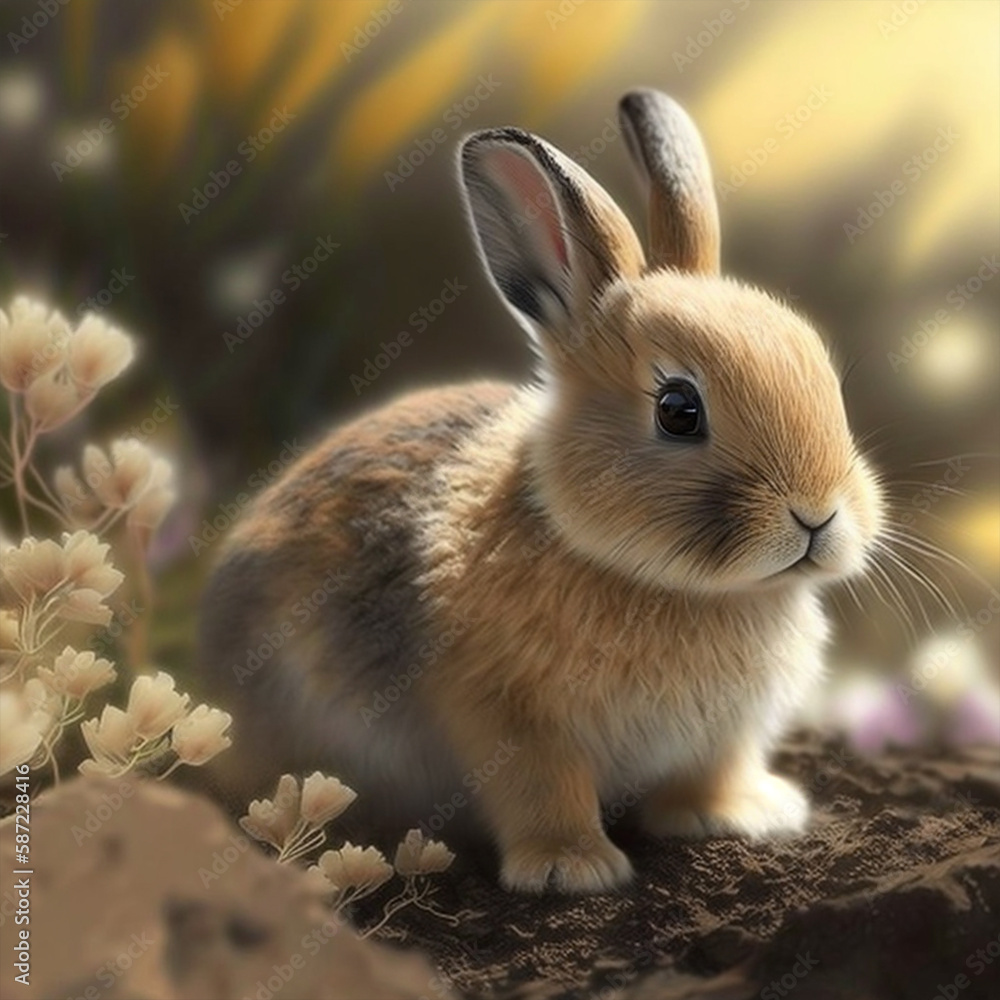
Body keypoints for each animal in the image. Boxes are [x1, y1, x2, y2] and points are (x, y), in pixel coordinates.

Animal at [197, 88, 884, 894]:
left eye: (828, 382)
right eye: (678, 410)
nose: (818, 516)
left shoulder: (721, 736)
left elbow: (707, 775)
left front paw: (738, 817)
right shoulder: (509, 718)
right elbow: (541, 788)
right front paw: (571, 870)